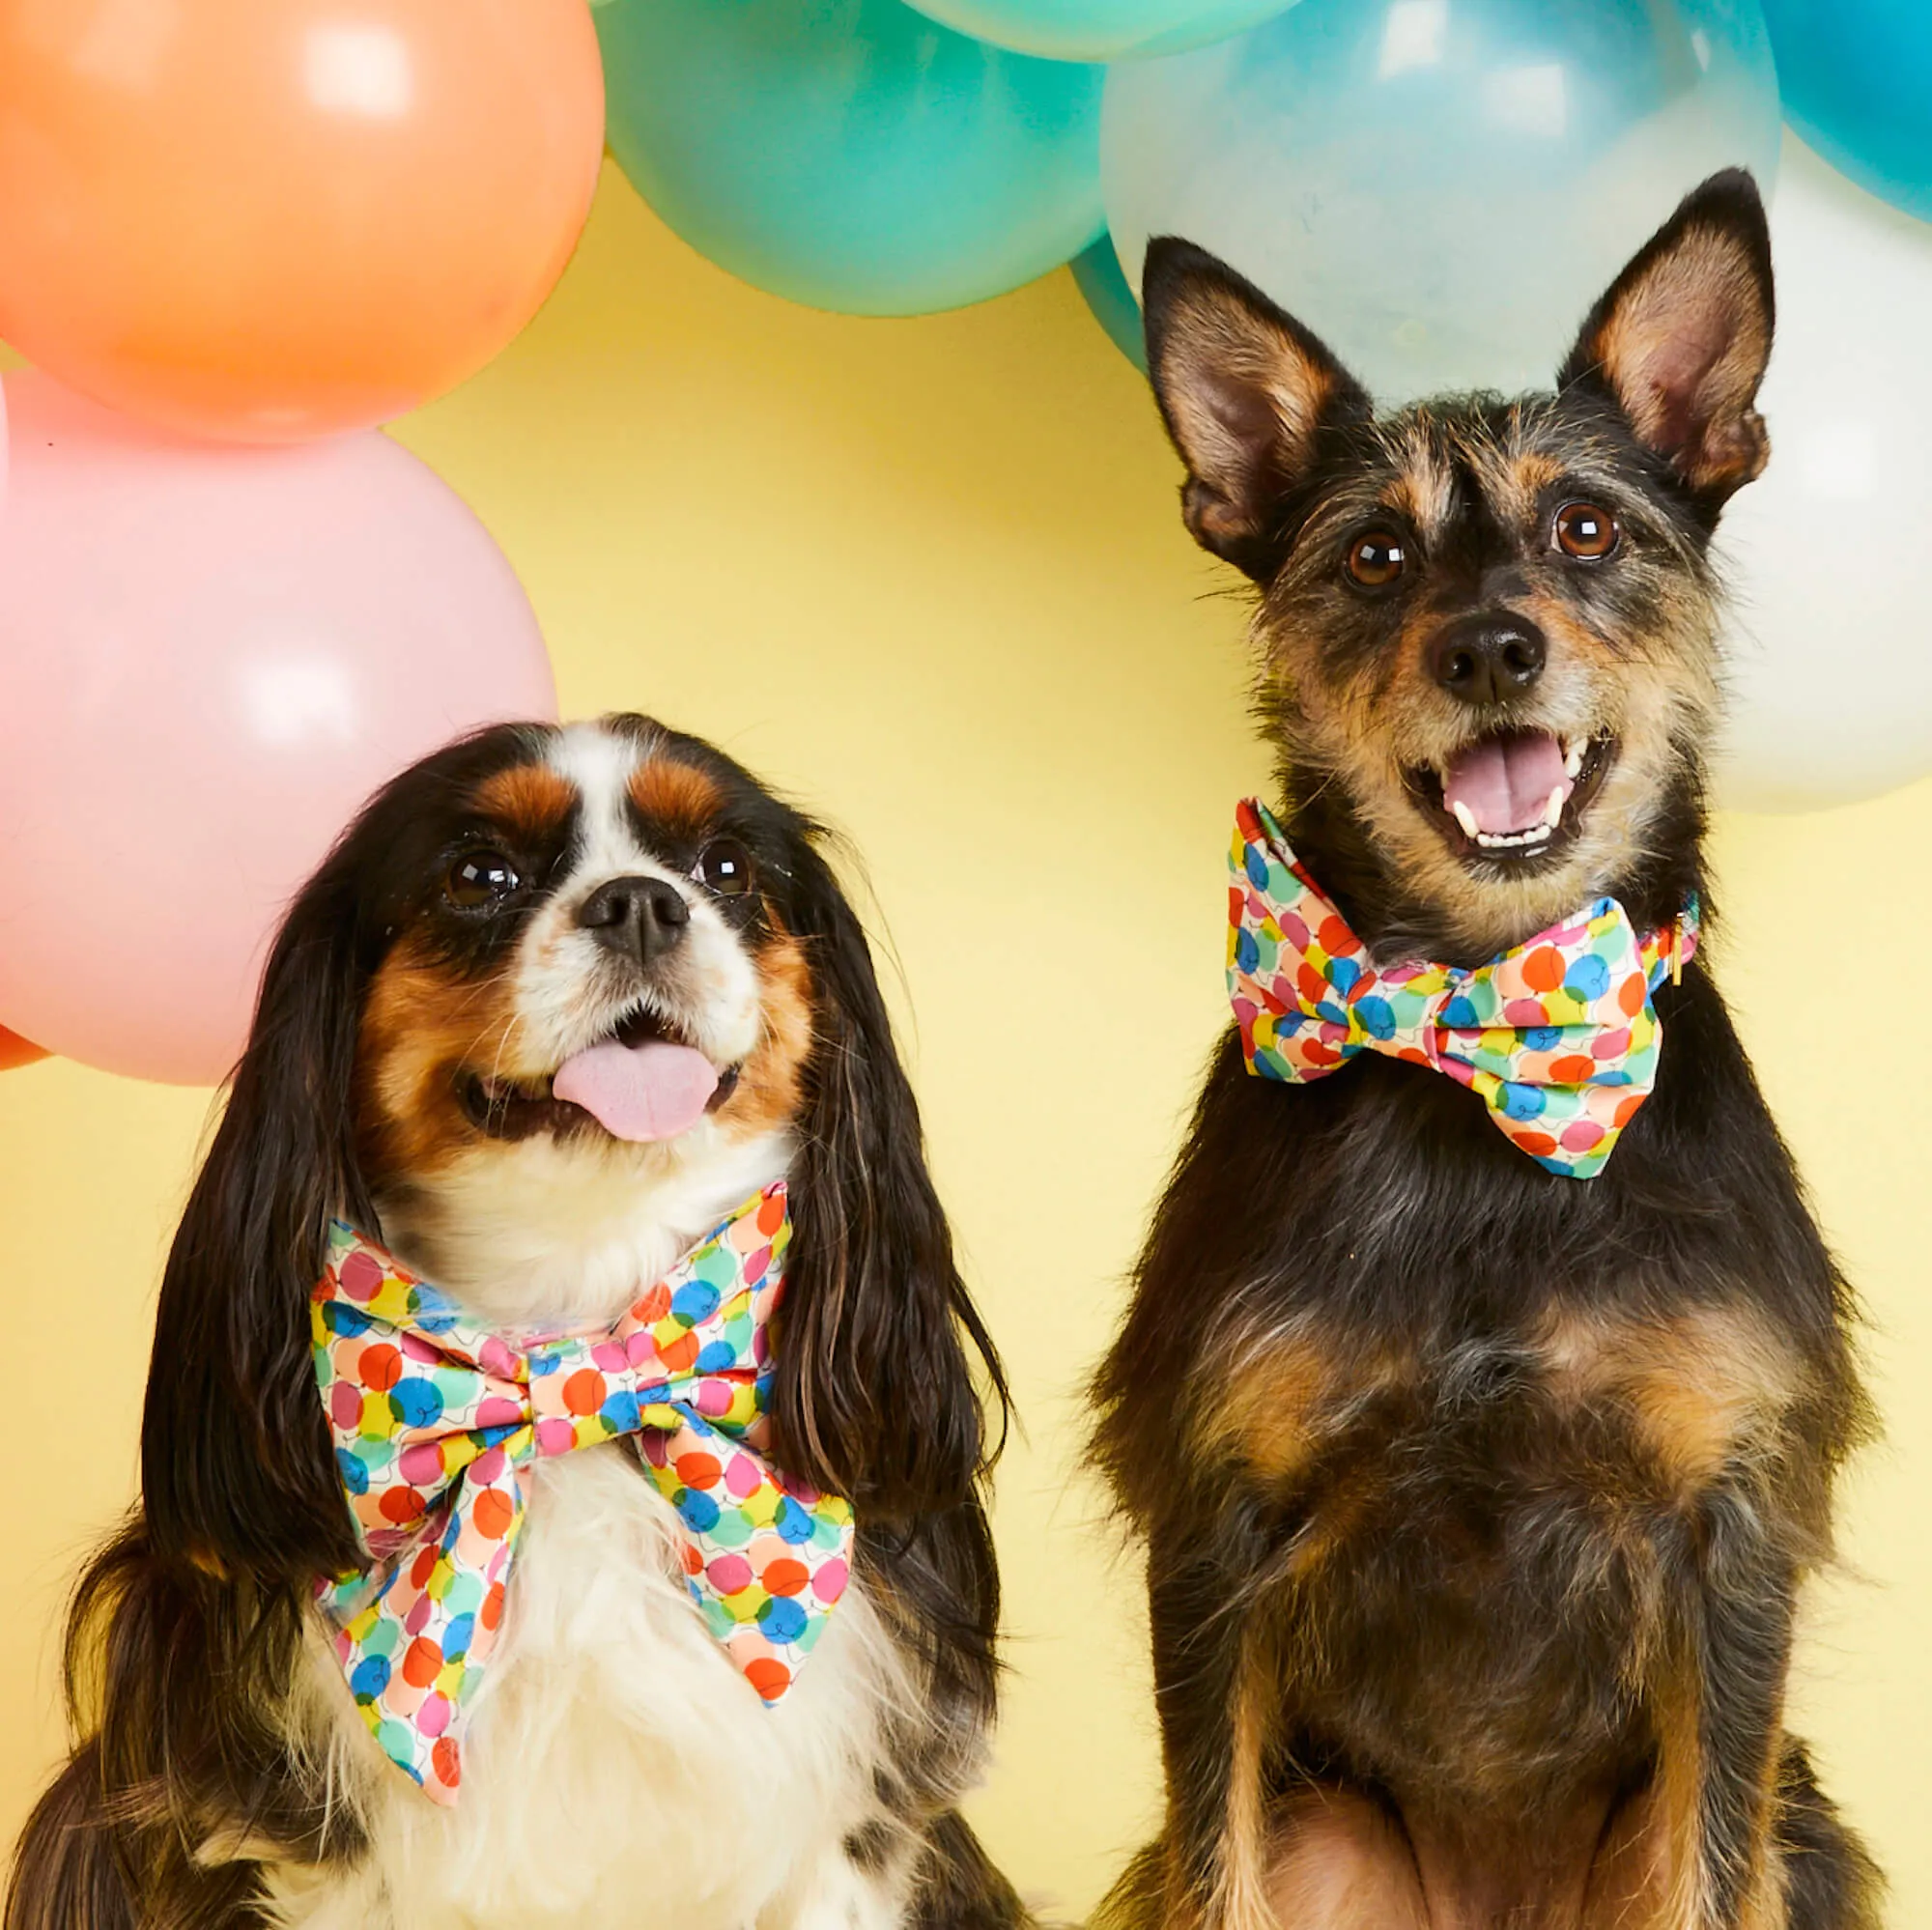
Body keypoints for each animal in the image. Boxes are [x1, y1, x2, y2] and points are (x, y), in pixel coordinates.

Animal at [1097, 174, 1878, 1924]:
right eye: (1376, 554)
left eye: (1586, 528)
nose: (1491, 649)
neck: (1481, 1042)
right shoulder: (1212, 1533)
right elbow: (1212, 1857)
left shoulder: (1730, 1544)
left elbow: (1708, 1863)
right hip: (1329, 1827)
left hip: (1806, 1819)